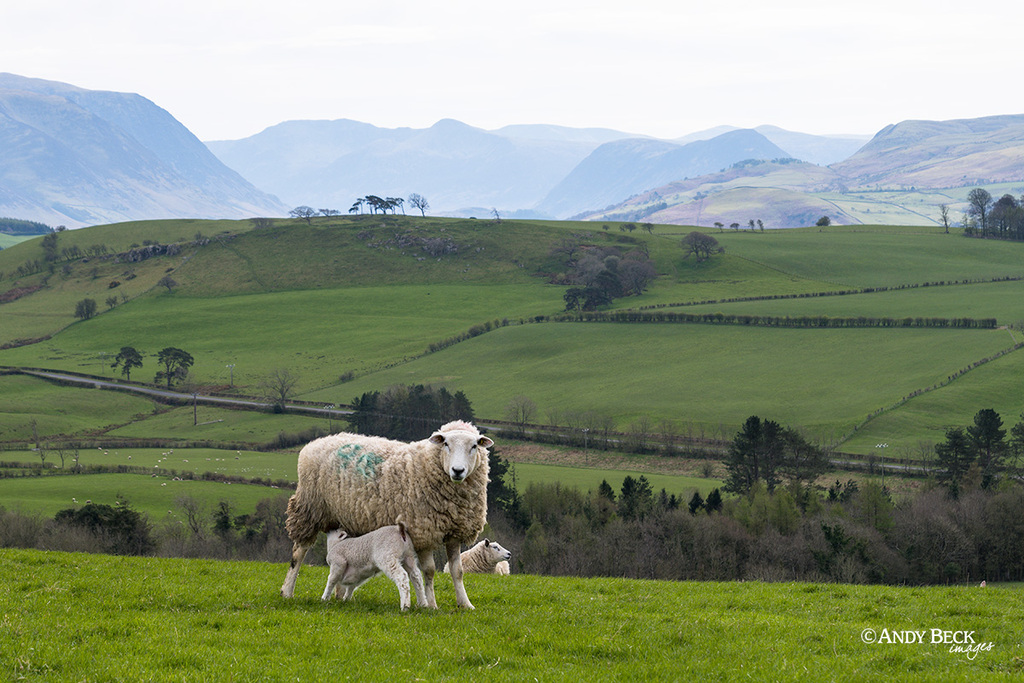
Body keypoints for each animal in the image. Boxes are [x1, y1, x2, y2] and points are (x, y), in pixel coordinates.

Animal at [278, 421, 489, 610]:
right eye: (446, 444)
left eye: (474, 446)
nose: (458, 471)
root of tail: (314, 443)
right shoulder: (423, 533)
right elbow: (429, 572)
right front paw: (431, 605)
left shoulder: (455, 533)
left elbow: (457, 571)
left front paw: (465, 604)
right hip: (309, 510)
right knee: (298, 553)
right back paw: (287, 591)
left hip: (342, 518)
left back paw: (339, 596)